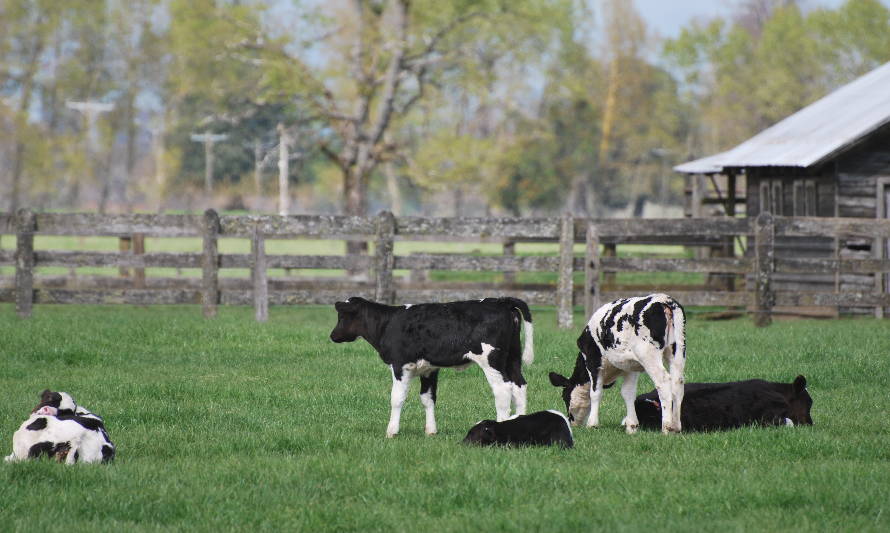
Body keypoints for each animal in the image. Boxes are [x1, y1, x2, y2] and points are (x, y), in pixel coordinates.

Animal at [328, 296, 532, 436]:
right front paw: (431, 431)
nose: (332, 336)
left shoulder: (400, 365)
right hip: (513, 358)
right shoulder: (429, 369)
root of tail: (501, 301)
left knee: (503, 390)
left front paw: (392, 431)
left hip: (492, 361)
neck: (388, 323)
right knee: (519, 386)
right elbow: (428, 398)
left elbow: (396, 398)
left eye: (341, 316)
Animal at [548, 294, 688, 434]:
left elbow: (595, 393)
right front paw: (632, 426)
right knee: (678, 383)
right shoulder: (631, 367)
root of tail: (663, 300)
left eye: (564, 396)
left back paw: (667, 427)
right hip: (678, 351)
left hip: (649, 355)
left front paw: (592, 424)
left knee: (663, 382)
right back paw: (676, 426)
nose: (571, 422)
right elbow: (628, 393)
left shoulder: (593, 362)